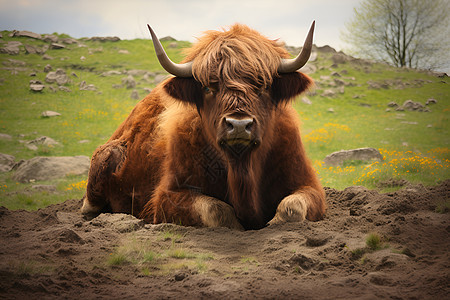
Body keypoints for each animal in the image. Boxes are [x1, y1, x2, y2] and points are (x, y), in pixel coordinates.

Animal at [81, 22, 326, 230]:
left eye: (264, 86)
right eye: (208, 88)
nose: (239, 125)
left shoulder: (308, 185)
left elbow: (292, 208)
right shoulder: (167, 196)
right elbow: (216, 211)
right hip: (106, 158)